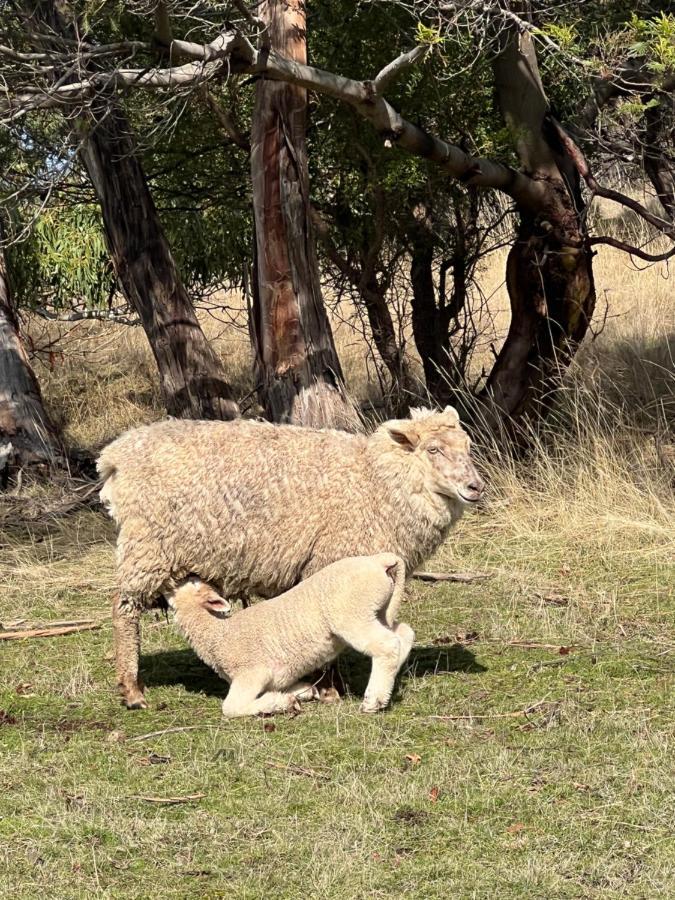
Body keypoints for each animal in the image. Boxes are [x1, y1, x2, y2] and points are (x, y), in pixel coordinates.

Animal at [166, 552, 414, 712]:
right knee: (403, 633)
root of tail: (378, 561)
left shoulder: (252, 674)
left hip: (353, 614)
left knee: (388, 645)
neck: (217, 635)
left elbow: (230, 708)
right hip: (377, 609)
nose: (180, 574)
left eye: (192, 584)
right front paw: (302, 692)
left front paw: (279, 703)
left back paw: (373, 701)